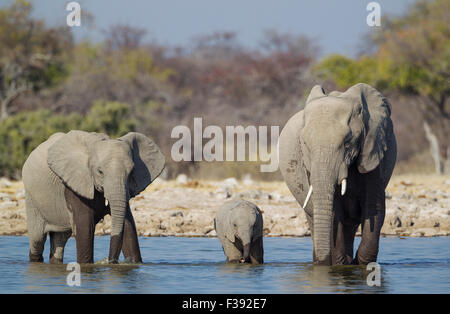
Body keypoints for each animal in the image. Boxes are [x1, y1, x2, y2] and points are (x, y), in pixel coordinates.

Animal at [21, 131, 165, 264]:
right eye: (100, 171)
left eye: (131, 172)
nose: (111, 260)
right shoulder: (76, 182)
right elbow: (85, 228)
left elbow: (129, 226)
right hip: (32, 199)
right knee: (37, 239)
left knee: (59, 240)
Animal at [280, 83, 396, 264]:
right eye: (304, 144)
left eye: (347, 143)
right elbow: (335, 213)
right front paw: (340, 263)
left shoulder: (373, 152)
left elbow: (373, 209)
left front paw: (358, 263)